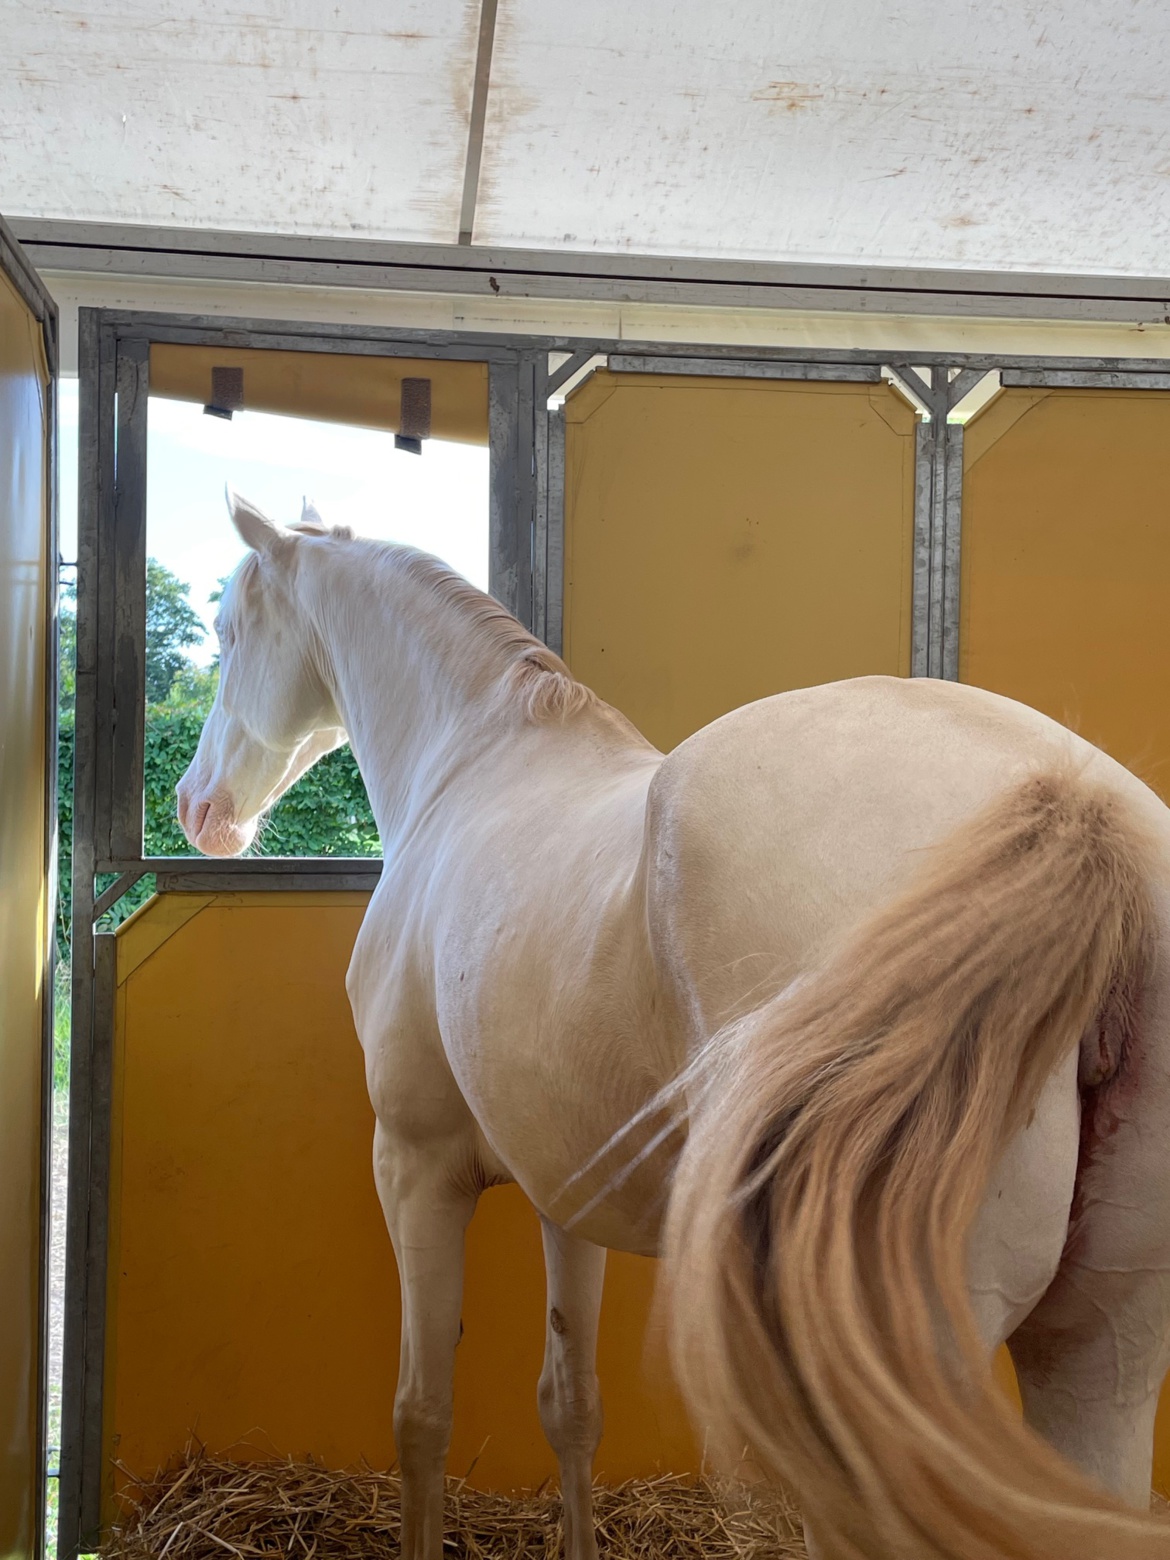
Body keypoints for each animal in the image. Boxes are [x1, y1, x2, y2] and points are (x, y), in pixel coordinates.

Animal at [178, 496, 1170, 1560]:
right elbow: (571, 1404)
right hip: (1101, 1353)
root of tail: (1078, 814)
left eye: (229, 631)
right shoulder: (565, 1196)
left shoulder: (414, 1166)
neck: (477, 759)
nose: (197, 809)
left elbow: (420, 1414)